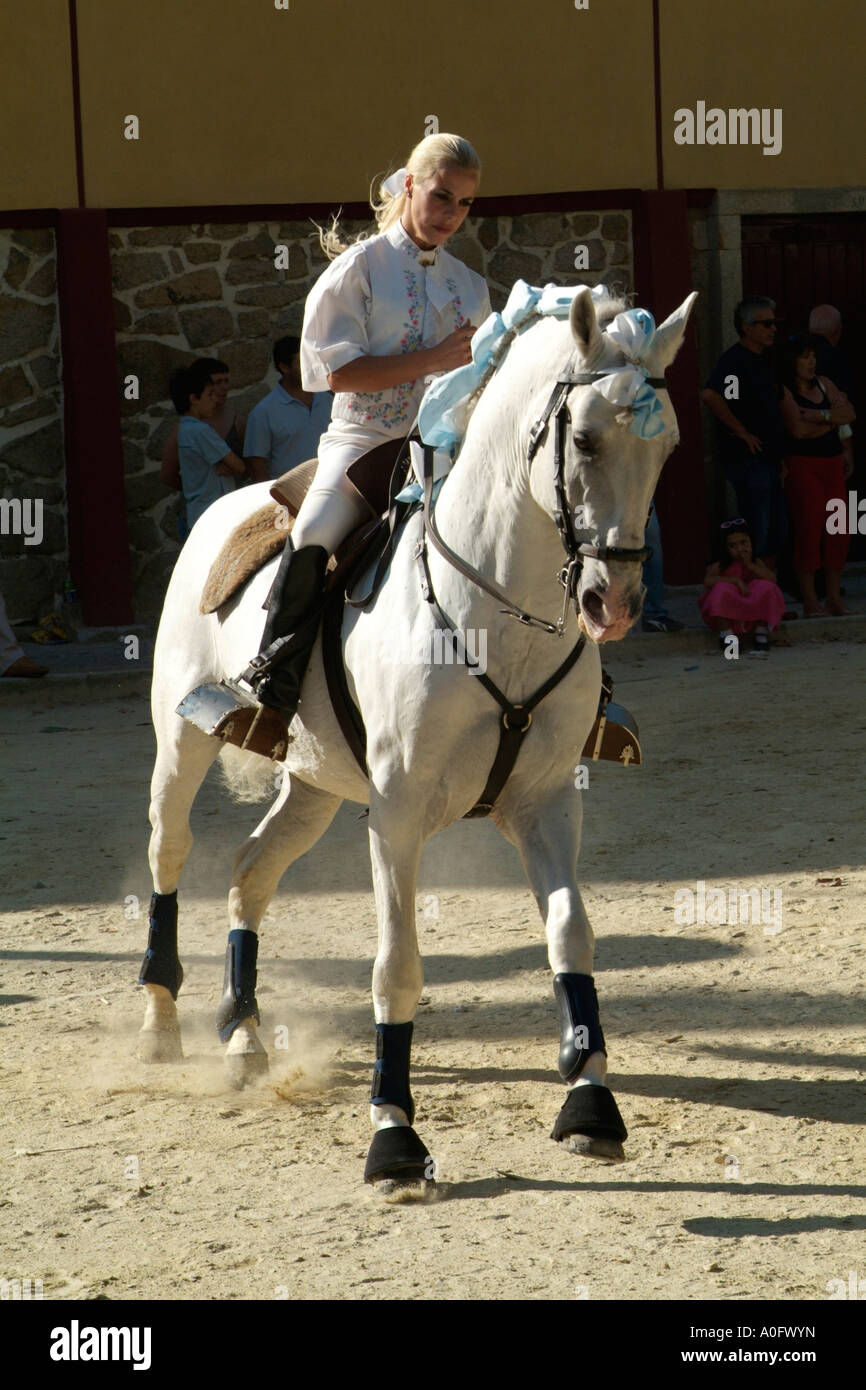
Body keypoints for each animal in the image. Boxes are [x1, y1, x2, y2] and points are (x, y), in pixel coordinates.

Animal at [142, 287, 697, 1189]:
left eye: (669, 445)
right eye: (583, 438)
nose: (613, 603)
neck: (499, 609)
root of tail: (229, 505)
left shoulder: (546, 802)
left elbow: (570, 935)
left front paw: (591, 1102)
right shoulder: (397, 814)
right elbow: (396, 969)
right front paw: (393, 1136)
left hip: (317, 781)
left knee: (251, 869)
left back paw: (244, 1032)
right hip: (180, 741)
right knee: (171, 848)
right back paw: (160, 1019)